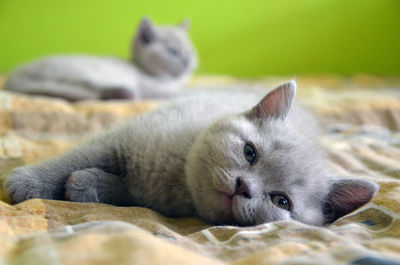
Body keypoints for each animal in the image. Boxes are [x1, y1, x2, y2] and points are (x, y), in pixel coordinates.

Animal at [3, 17, 197, 100]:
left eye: (191, 52)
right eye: (173, 51)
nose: (188, 61)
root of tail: (14, 79)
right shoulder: (158, 91)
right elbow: (192, 90)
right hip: (89, 72)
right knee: (86, 89)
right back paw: (123, 93)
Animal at [4, 81, 378, 225]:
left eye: (281, 201)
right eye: (249, 152)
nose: (244, 187)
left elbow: (128, 192)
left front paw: (88, 185)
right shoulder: (120, 140)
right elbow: (76, 157)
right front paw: (29, 182)